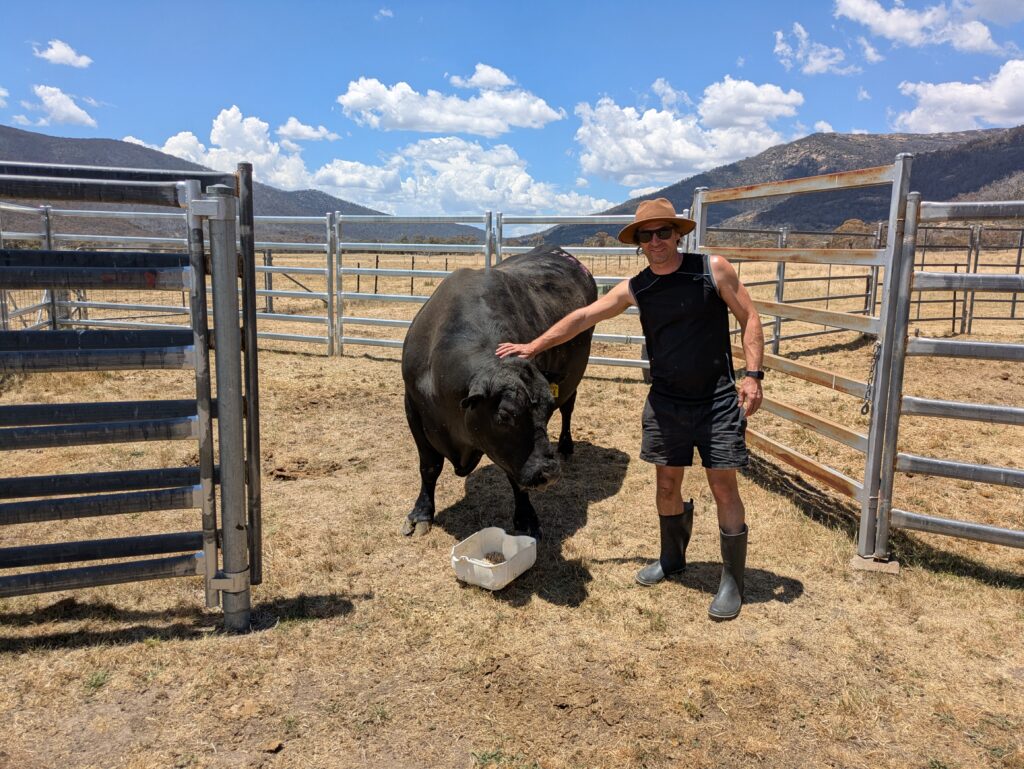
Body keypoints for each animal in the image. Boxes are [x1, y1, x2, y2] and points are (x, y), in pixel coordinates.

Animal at [400, 245, 597, 540]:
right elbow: (429, 466)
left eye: (546, 410)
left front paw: (526, 517)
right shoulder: (413, 407)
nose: (548, 473)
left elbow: (513, 474)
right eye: (504, 416)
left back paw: (565, 445)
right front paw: (421, 513)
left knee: (569, 408)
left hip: (574, 375)